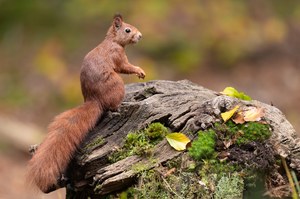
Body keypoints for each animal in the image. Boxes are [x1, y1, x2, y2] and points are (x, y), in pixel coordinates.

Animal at [27, 14, 145, 193]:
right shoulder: (118, 56)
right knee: (112, 106)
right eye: (127, 30)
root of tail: (95, 100)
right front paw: (139, 70)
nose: (140, 36)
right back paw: (121, 105)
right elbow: (125, 67)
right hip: (117, 84)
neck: (113, 41)